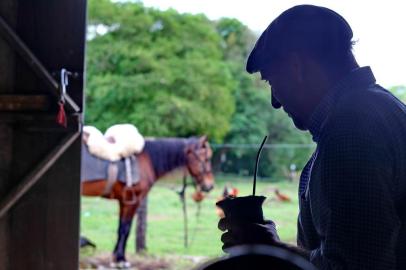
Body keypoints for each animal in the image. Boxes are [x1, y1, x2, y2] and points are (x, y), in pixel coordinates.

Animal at [81, 134, 216, 266]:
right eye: (206, 159)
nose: (210, 186)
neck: (146, 159)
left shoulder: (124, 202)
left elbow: (121, 228)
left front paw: (116, 257)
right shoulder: (133, 201)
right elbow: (125, 229)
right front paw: (121, 259)